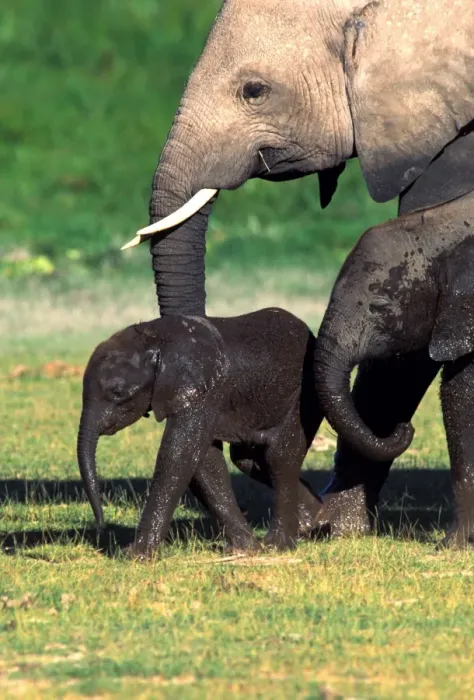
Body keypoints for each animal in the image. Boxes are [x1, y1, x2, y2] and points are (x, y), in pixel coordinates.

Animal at [77, 308, 325, 558]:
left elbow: (178, 455)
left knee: (279, 458)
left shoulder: (205, 392)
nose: (100, 524)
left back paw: (278, 545)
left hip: (303, 396)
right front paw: (244, 549)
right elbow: (204, 460)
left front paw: (134, 556)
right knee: (248, 460)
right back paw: (316, 519)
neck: (156, 337)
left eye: (118, 393)